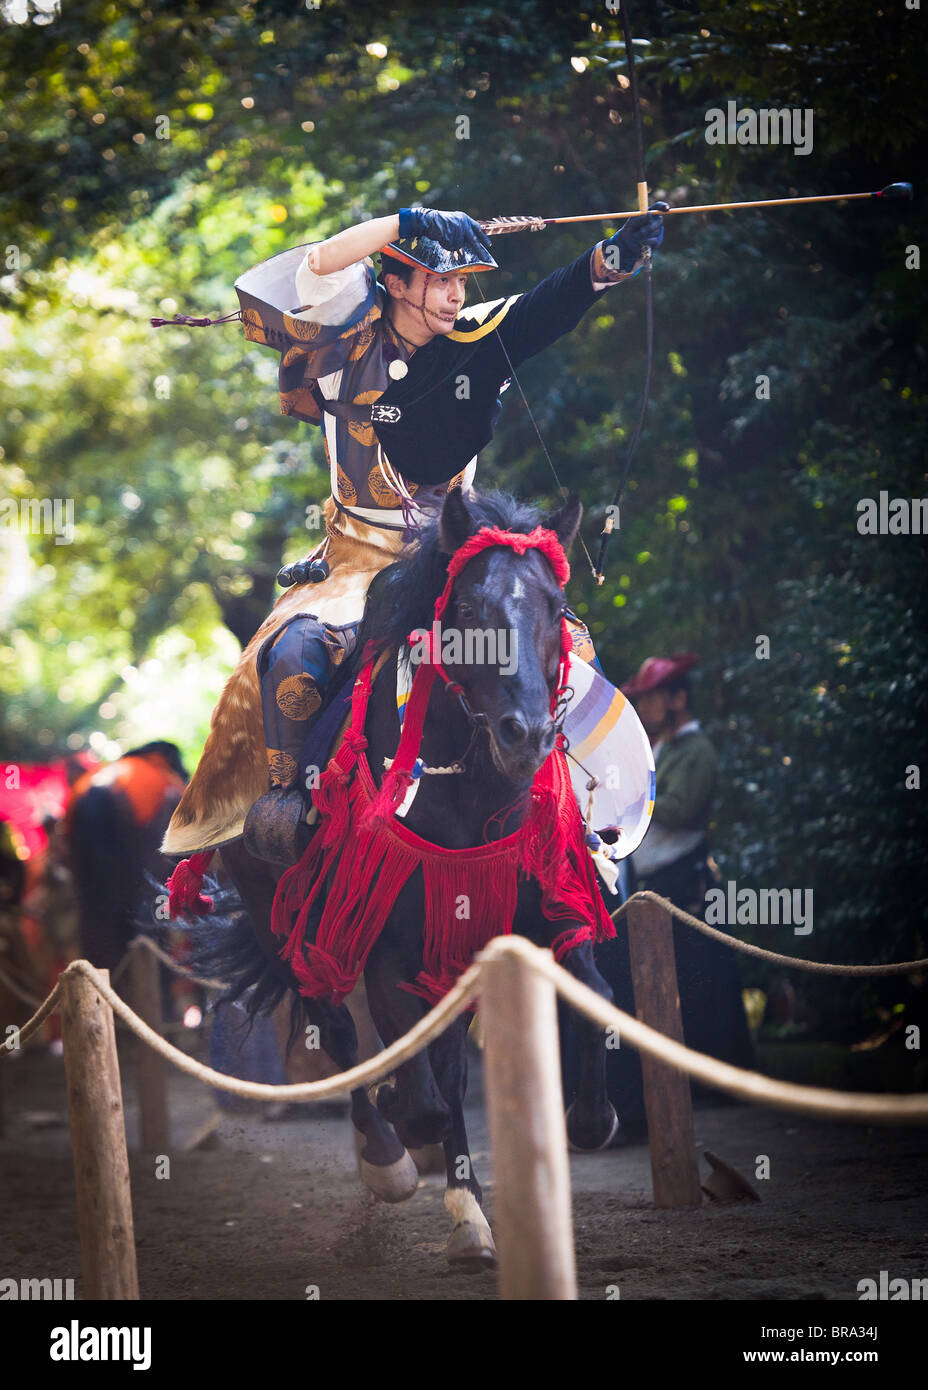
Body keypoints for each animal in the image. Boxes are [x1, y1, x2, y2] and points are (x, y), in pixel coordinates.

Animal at [219, 494, 616, 1267]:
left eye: (555, 607)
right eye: (466, 606)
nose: (526, 734)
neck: (468, 791)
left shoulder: (544, 914)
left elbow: (598, 995)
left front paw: (591, 1116)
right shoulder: (387, 947)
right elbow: (422, 1093)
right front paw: (401, 1132)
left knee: (444, 1058)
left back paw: (470, 1216)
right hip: (283, 925)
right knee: (340, 1033)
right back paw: (390, 1159)